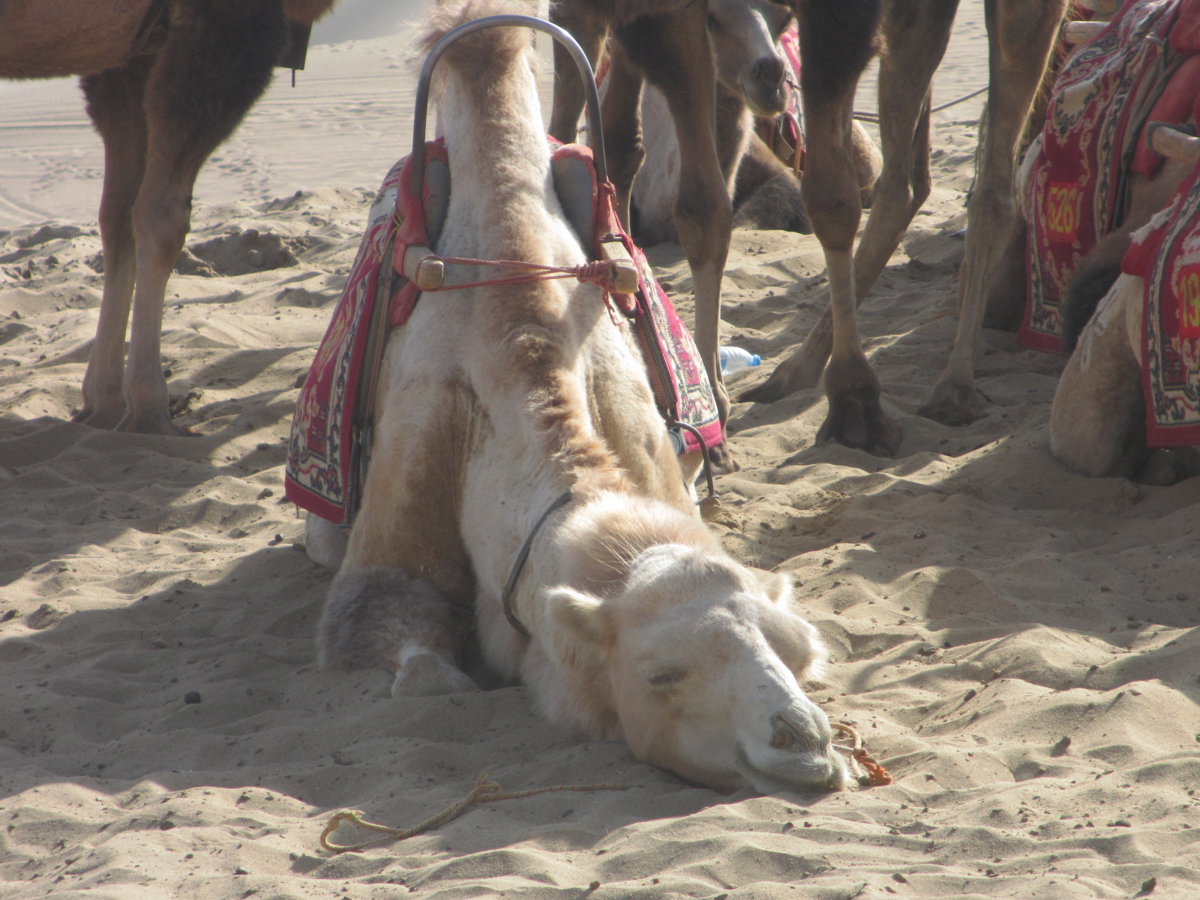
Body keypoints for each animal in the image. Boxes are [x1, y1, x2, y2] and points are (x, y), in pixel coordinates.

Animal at [0, 0, 336, 434]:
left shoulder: (126, 58)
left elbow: (117, 214)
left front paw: (102, 401)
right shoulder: (226, 27)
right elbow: (162, 215)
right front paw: (148, 408)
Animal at [739, 0, 1072, 457]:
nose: (765, 84)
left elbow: (830, 196)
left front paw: (854, 405)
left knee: (989, 187)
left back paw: (953, 390)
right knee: (908, 183)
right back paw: (791, 373)